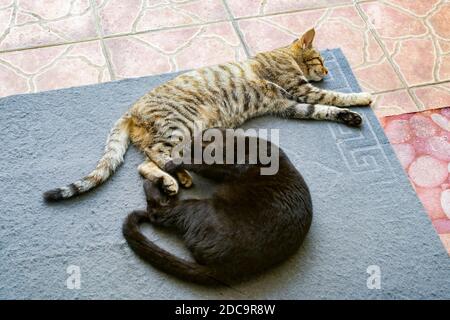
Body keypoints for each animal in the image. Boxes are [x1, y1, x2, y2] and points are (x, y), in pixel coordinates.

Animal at [44, 28, 370, 201]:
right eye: (320, 59)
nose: (327, 71)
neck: (283, 56)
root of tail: (130, 111)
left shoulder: (291, 104)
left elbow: (325, 109)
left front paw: (349, 116)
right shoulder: (297, 90)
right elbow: (335, 96)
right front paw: (362, 96)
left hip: (185, 134)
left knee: (146, 164)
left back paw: (177, 178)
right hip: (179, 125)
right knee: (153, 156)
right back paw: (176, 173)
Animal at [123, 130, 312, 284]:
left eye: (193, 147)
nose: (183, 149)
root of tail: (227, 268)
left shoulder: (224, 166)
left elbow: (198, 164)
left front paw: (173, 164)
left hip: (195, 206)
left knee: (157, 213)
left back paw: (152, 184)